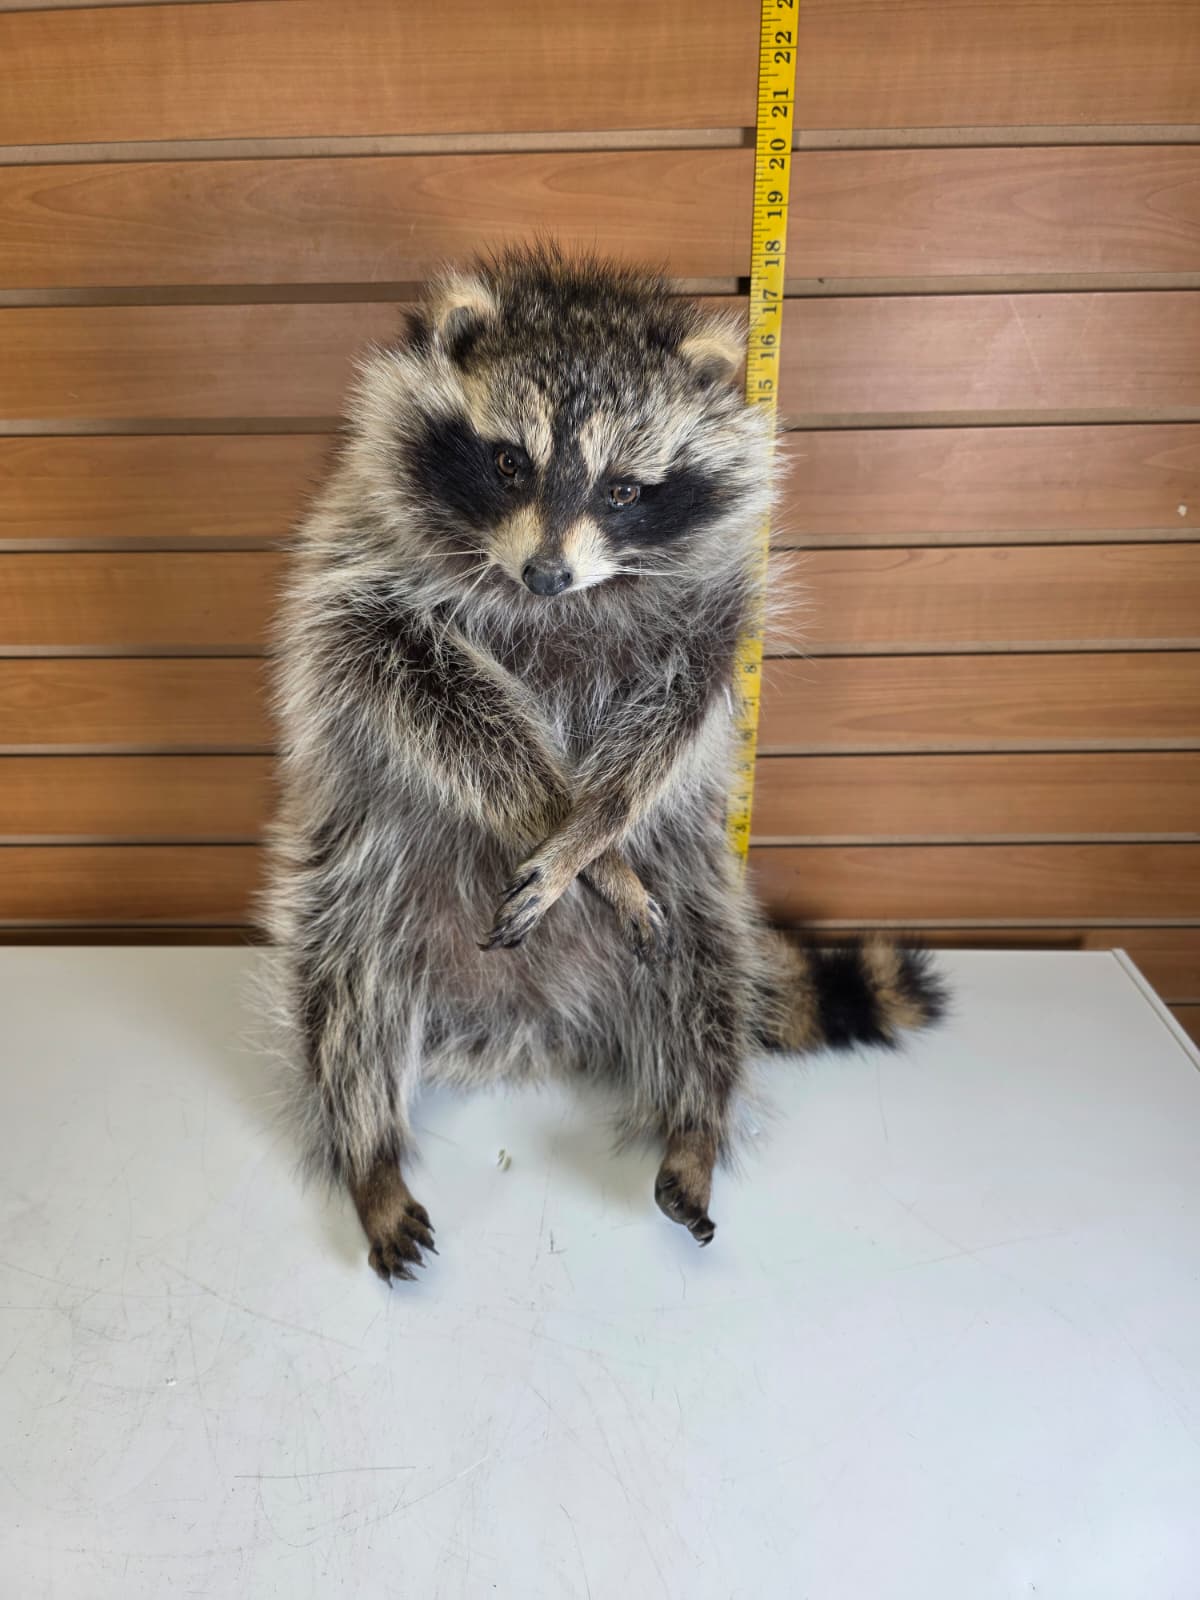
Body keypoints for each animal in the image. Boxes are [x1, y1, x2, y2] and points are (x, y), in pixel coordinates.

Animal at [262, 247, 944, 1282]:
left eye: (622, 489)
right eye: (510, 462)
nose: (546, 574)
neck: (557, 603)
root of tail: (525, 1026)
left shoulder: (720, 596)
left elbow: (677, 718)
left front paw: (594, 830)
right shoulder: (356, 563)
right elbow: (419, 688)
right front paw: (543, 805)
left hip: (696, 891)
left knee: (708, 978)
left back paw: (696, 1125)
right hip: (362, 883)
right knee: (344, 997)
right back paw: (368, 1152)